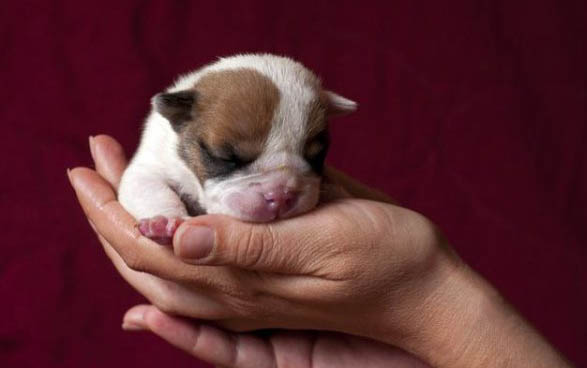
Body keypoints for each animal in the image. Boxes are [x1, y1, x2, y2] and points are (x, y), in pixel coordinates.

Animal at [119, 51, 356, 242]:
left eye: (316, 156)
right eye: (227, 158)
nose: (280, 196)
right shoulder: (152, 163)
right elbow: (149, 188)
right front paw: (164, 221)